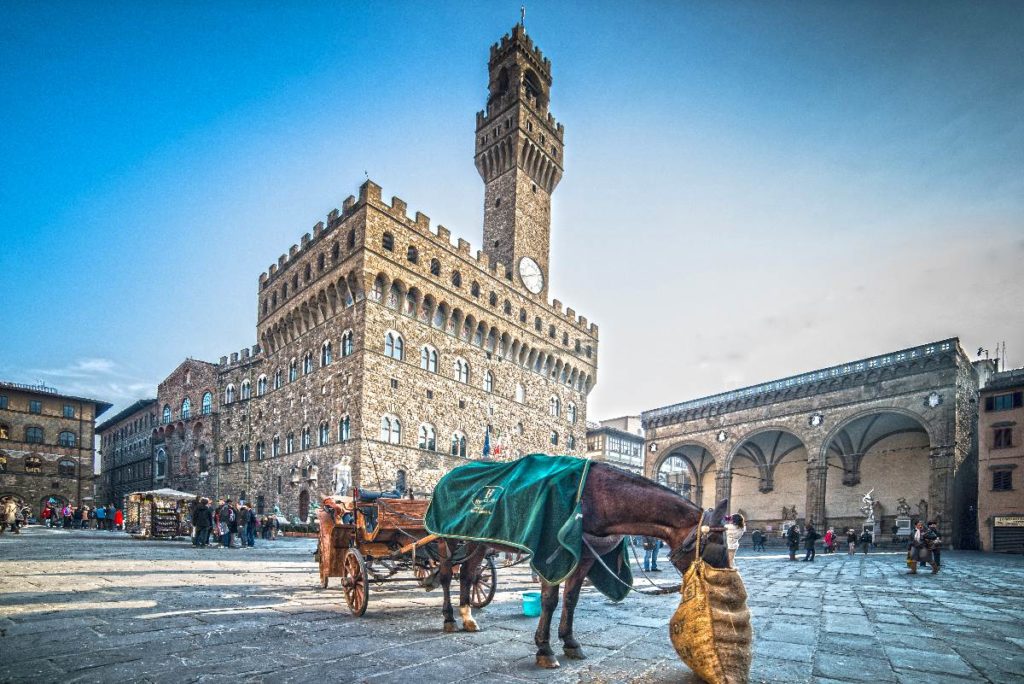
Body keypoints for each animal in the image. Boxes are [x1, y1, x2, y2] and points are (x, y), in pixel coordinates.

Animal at [436, 464, 733, 667]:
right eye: (718, 546)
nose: (724, 591)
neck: (598, 499)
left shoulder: (584, 560)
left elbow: (571, 599)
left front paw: (569, 642)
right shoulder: (551, 554)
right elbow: (550, 601)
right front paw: (545, 649)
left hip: (478, 542)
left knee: (468, 574)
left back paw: (468, 618)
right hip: (446, 539)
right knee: (446, 576)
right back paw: (449, 618)